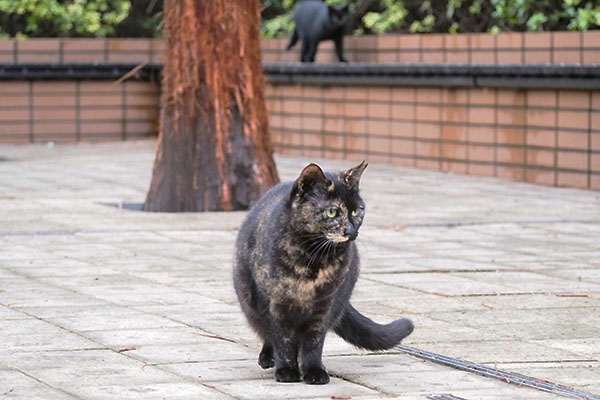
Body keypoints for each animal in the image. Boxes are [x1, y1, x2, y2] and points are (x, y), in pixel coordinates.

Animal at [233, 162, 412, 384]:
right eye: (332, 212)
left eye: (356, 211)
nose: (351, 231)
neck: (313, 259)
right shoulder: (275, 305)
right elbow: (282, 341)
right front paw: (287, 370)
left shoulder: (324, 306)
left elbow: (313, 343)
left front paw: (314, 371)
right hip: (250, 303)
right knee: (266, 334)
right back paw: (268, 358)